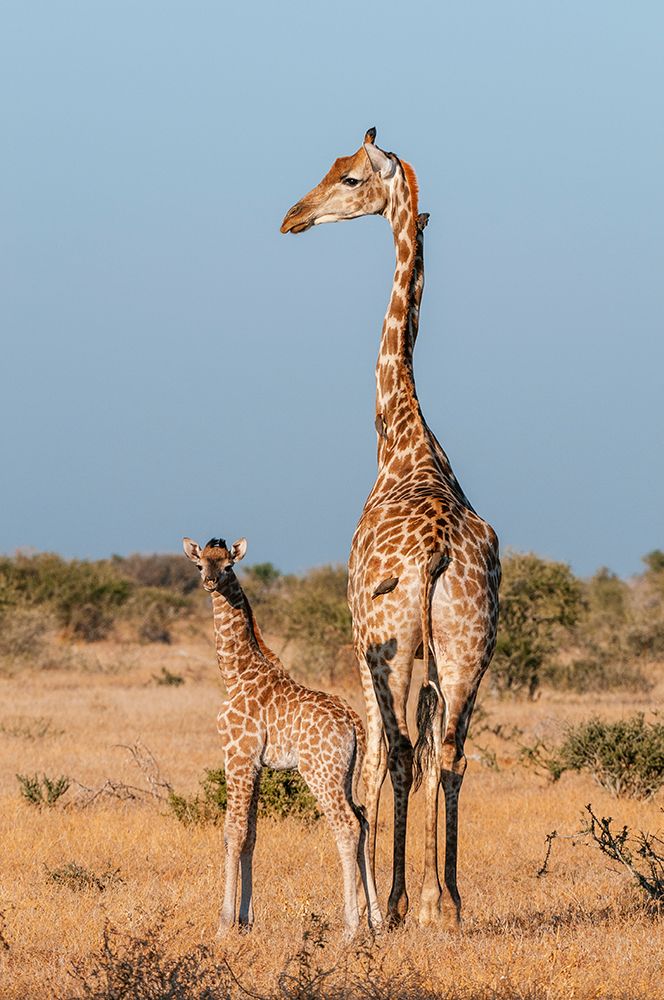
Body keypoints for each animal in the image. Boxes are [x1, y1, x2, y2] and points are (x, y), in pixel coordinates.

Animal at [182, 535, 382, 938]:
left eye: (228, 565)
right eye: (200, 564)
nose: (210, 582)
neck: (236, 674)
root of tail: (355, 722)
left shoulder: (237, 756)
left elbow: (232, 832)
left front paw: (224, 924)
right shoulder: (256, 765)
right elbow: (252, 835)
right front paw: (246, 919)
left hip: (319, 772)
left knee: (347, 826)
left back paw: (350, 928)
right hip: (345, 774)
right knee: (365, 819)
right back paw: (377, 922)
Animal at [280, 129, 500, 928]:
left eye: (349, 178)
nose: (292, 217)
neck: (401, 438)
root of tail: (433, 553)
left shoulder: (358, 632)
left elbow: (376, 760)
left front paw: (377, 902)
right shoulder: (442, 658)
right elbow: (431, 753)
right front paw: (430, 896)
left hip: (389, 644)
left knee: (399, 751)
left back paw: (398, 902)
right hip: (469, 644)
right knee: (451, 752)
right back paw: (451, 900)